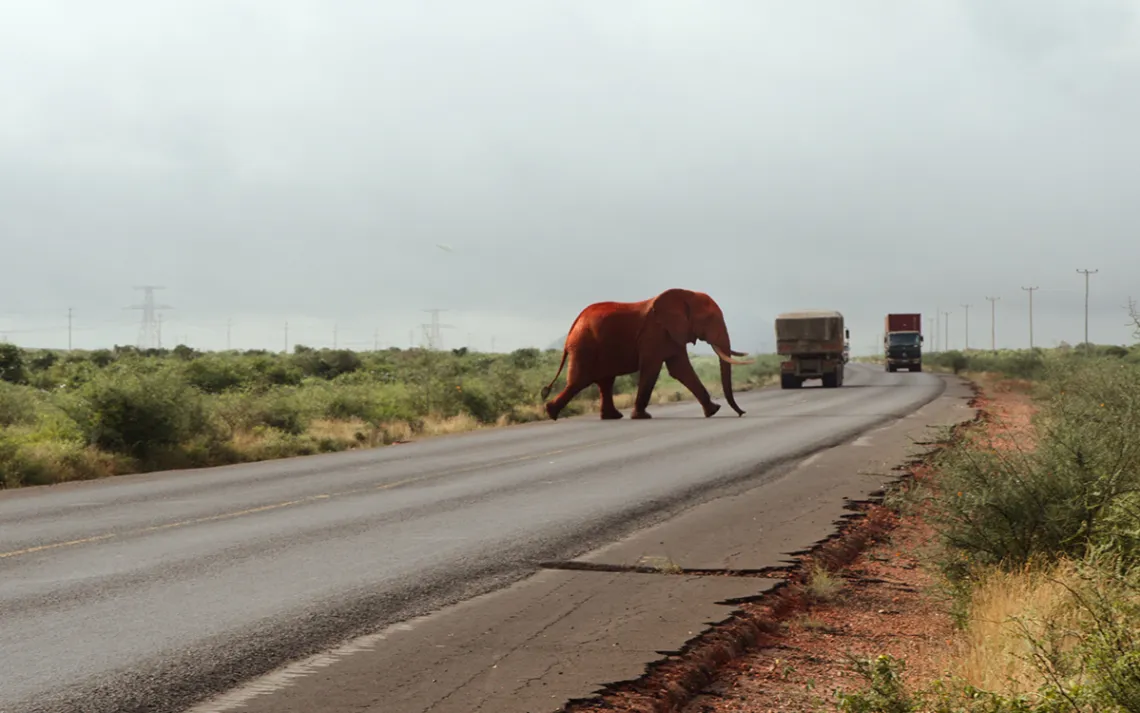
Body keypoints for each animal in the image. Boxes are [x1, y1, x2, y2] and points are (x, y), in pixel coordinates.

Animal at [540, 288, 754, 421]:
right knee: (579, 381)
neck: (686, 294)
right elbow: (653, 368)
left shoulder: (671, 334)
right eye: (709, 319)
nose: (742, 413)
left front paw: (713, 411)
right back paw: (551, 413)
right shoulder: (655, 334)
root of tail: (573, 324)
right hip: (585, 347)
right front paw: (642, 417)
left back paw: (611, 417)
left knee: (605, 381)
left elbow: (680, 369)